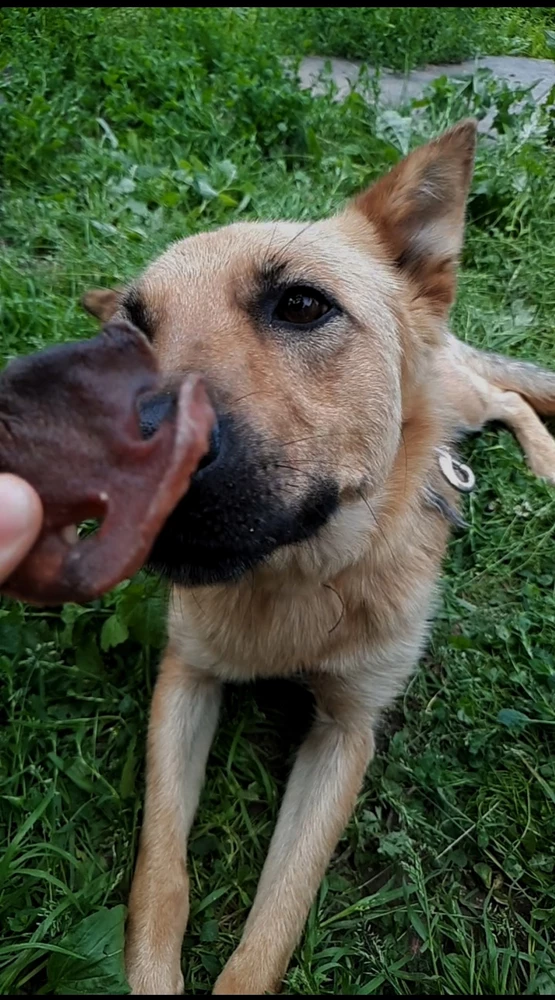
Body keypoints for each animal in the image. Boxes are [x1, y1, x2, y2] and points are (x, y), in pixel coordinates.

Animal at [83, 121, 555, 996]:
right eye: (127, 340)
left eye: (301, 304)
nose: (132, 467)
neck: (294, 583)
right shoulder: (185, 679)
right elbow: (160, 873)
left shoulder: (345, 735)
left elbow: (275, 920)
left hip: (461, 398)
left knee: (505, 396)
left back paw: (544, 460)